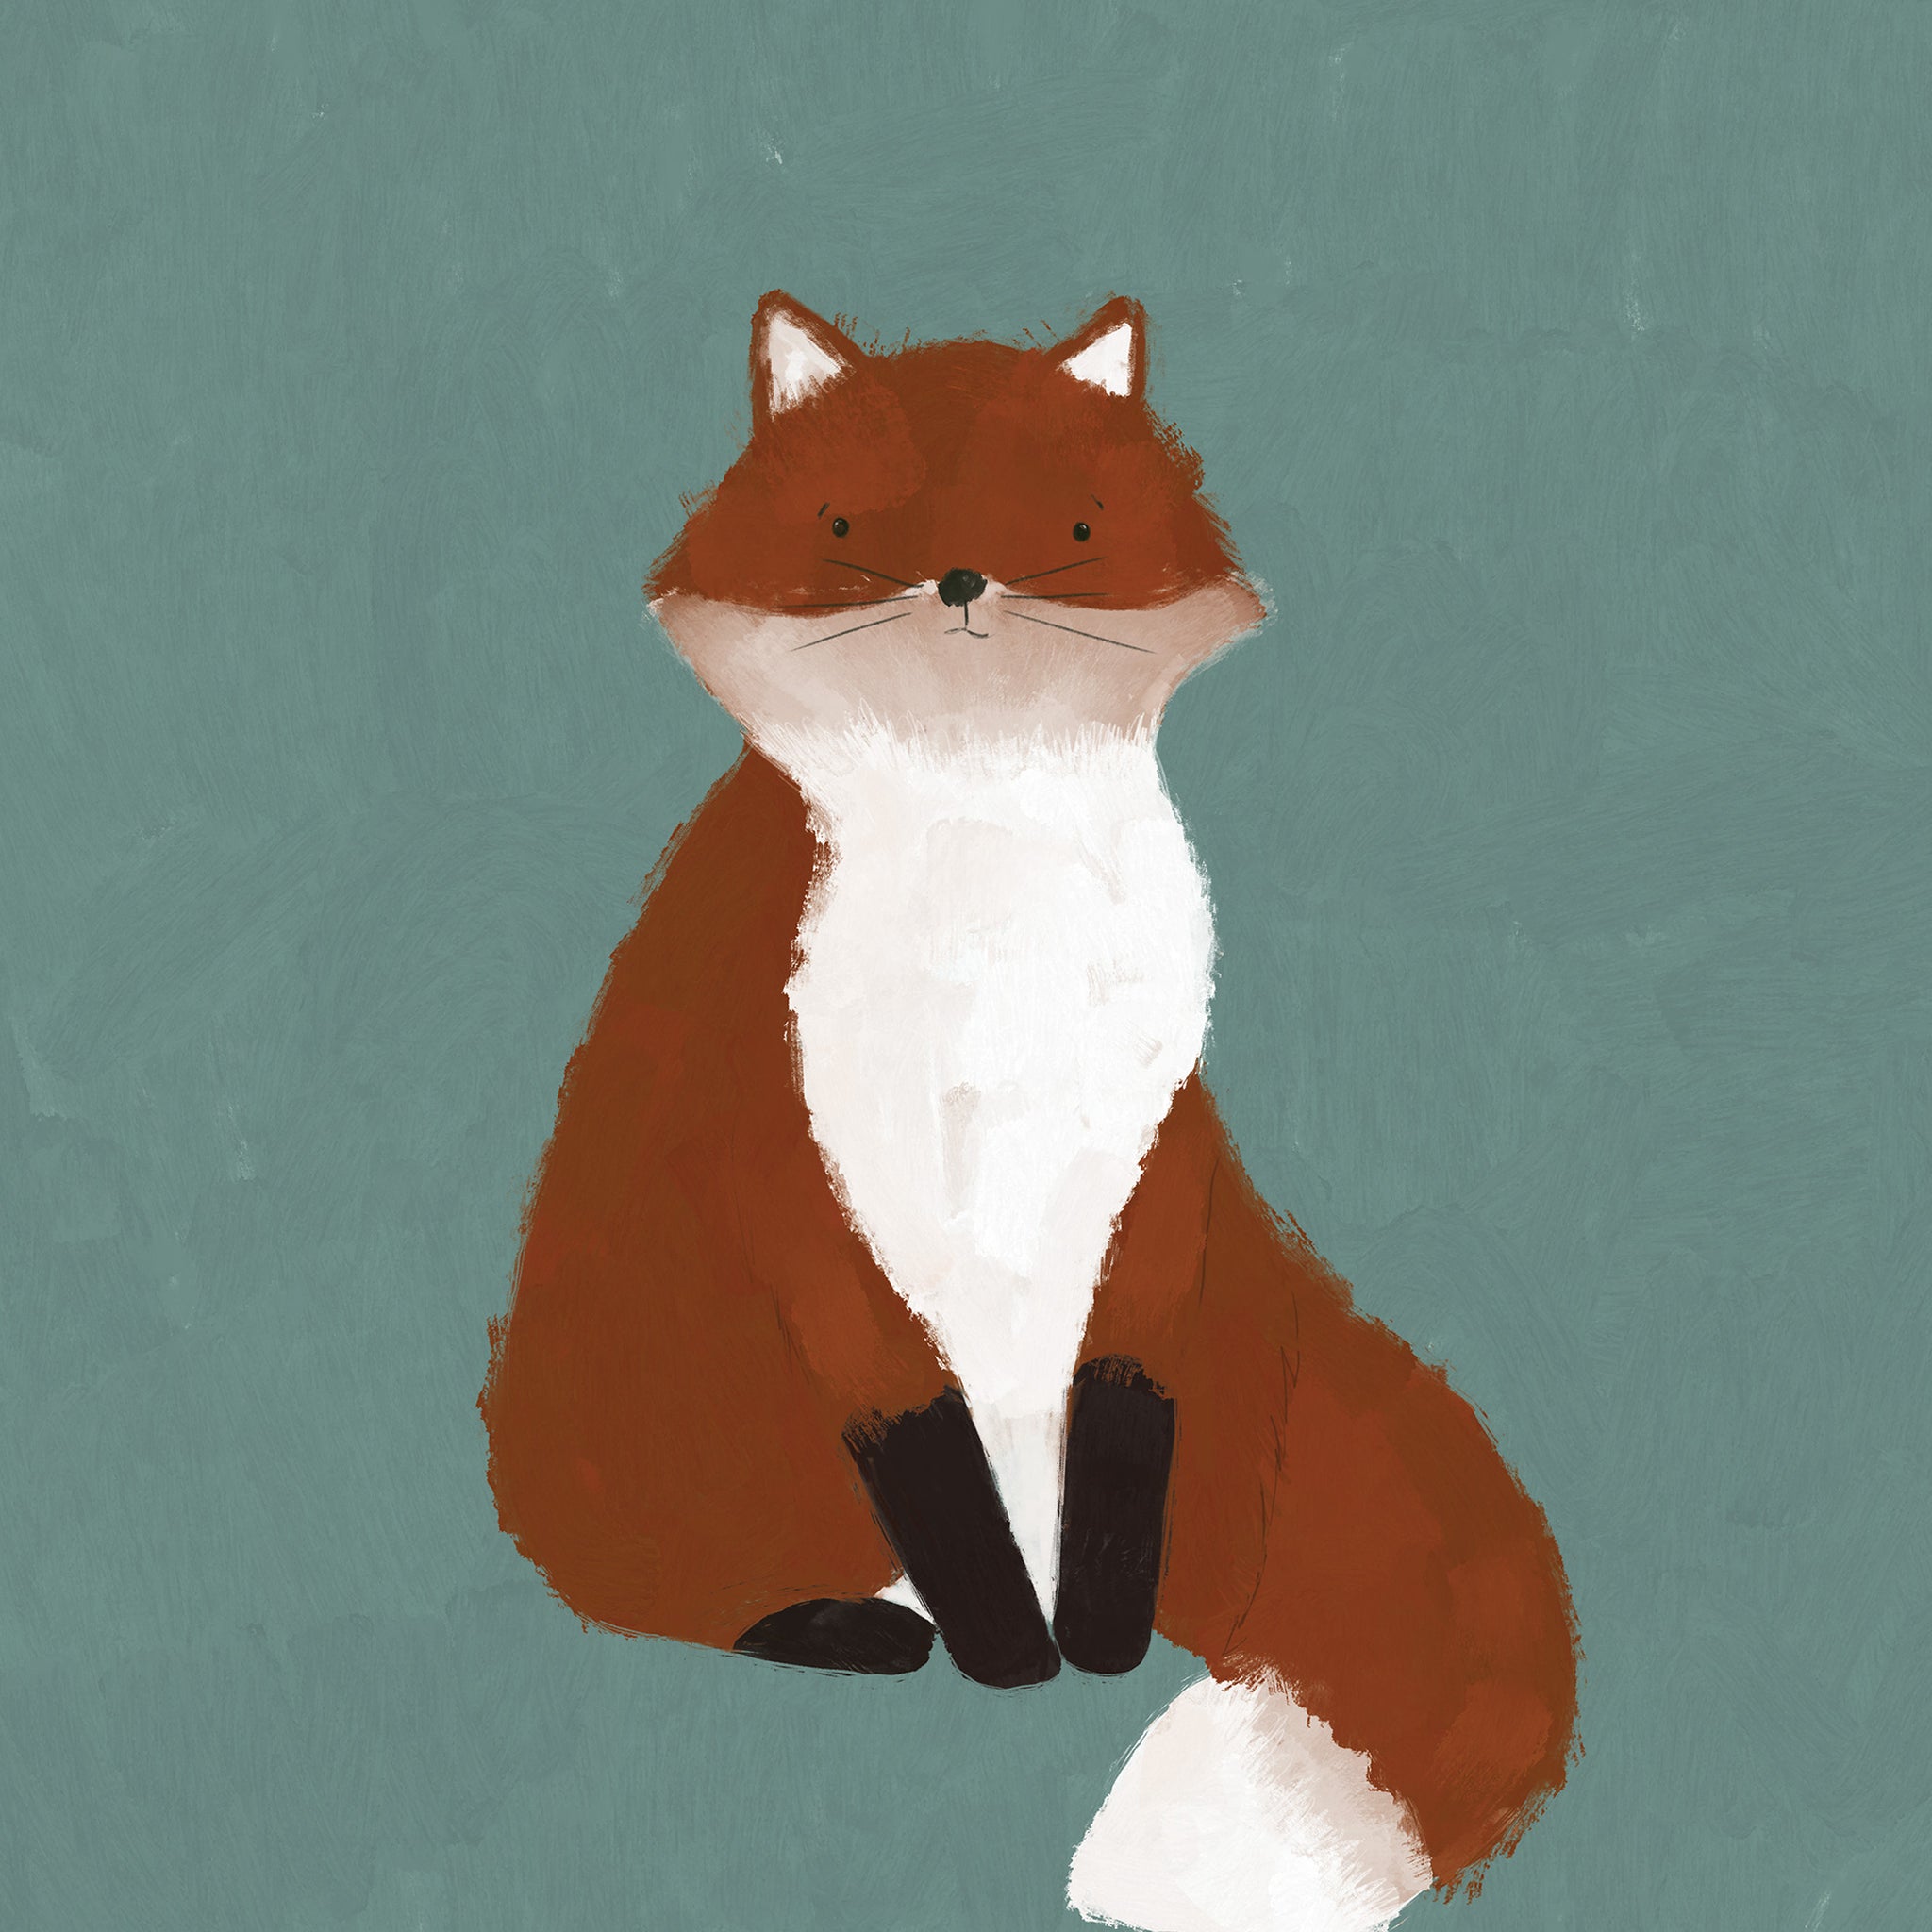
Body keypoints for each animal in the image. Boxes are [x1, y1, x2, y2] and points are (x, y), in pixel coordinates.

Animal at [479, 291, 1578, 1931]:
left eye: (1069, 525)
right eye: (847, 523)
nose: (957, 581)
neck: (990, 881)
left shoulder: (1156, 1162)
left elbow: (1123, 1420)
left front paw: (1095, 1644)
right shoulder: (786, 1169)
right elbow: (926, 1457)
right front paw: (1012, 1655)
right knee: (679, 1588)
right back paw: (861, 1626)